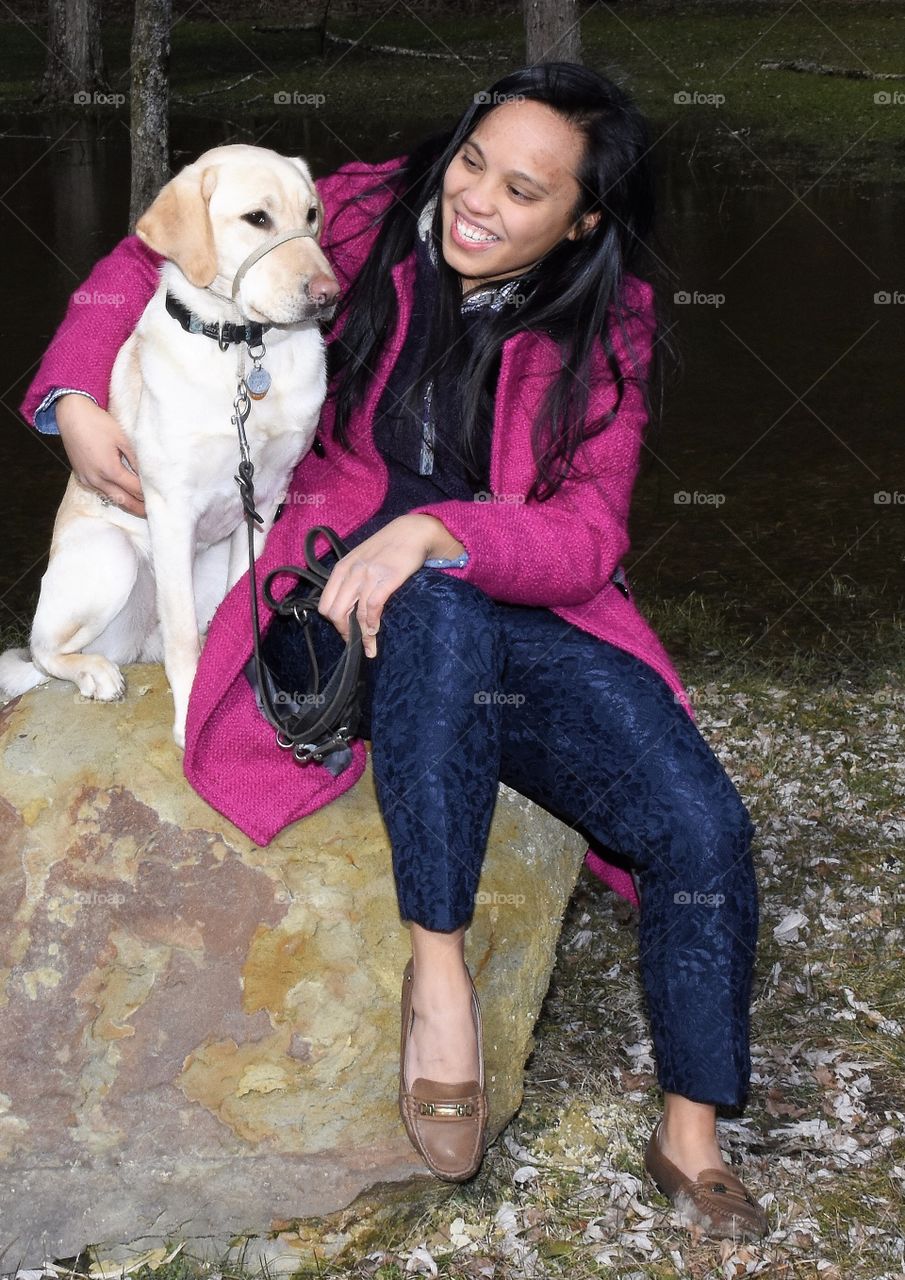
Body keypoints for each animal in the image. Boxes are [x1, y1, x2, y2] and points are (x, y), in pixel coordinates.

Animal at [0, 146, 340, 747]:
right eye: (257, 218)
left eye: (312, 215)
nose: (331, 296)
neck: (242, 352)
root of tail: (135, 644)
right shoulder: (172, 507)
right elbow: (184, 644)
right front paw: (189, 718)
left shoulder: (263, 501)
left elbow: (237, 618)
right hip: (112, 557)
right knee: (41, 653)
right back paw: (95, 673)